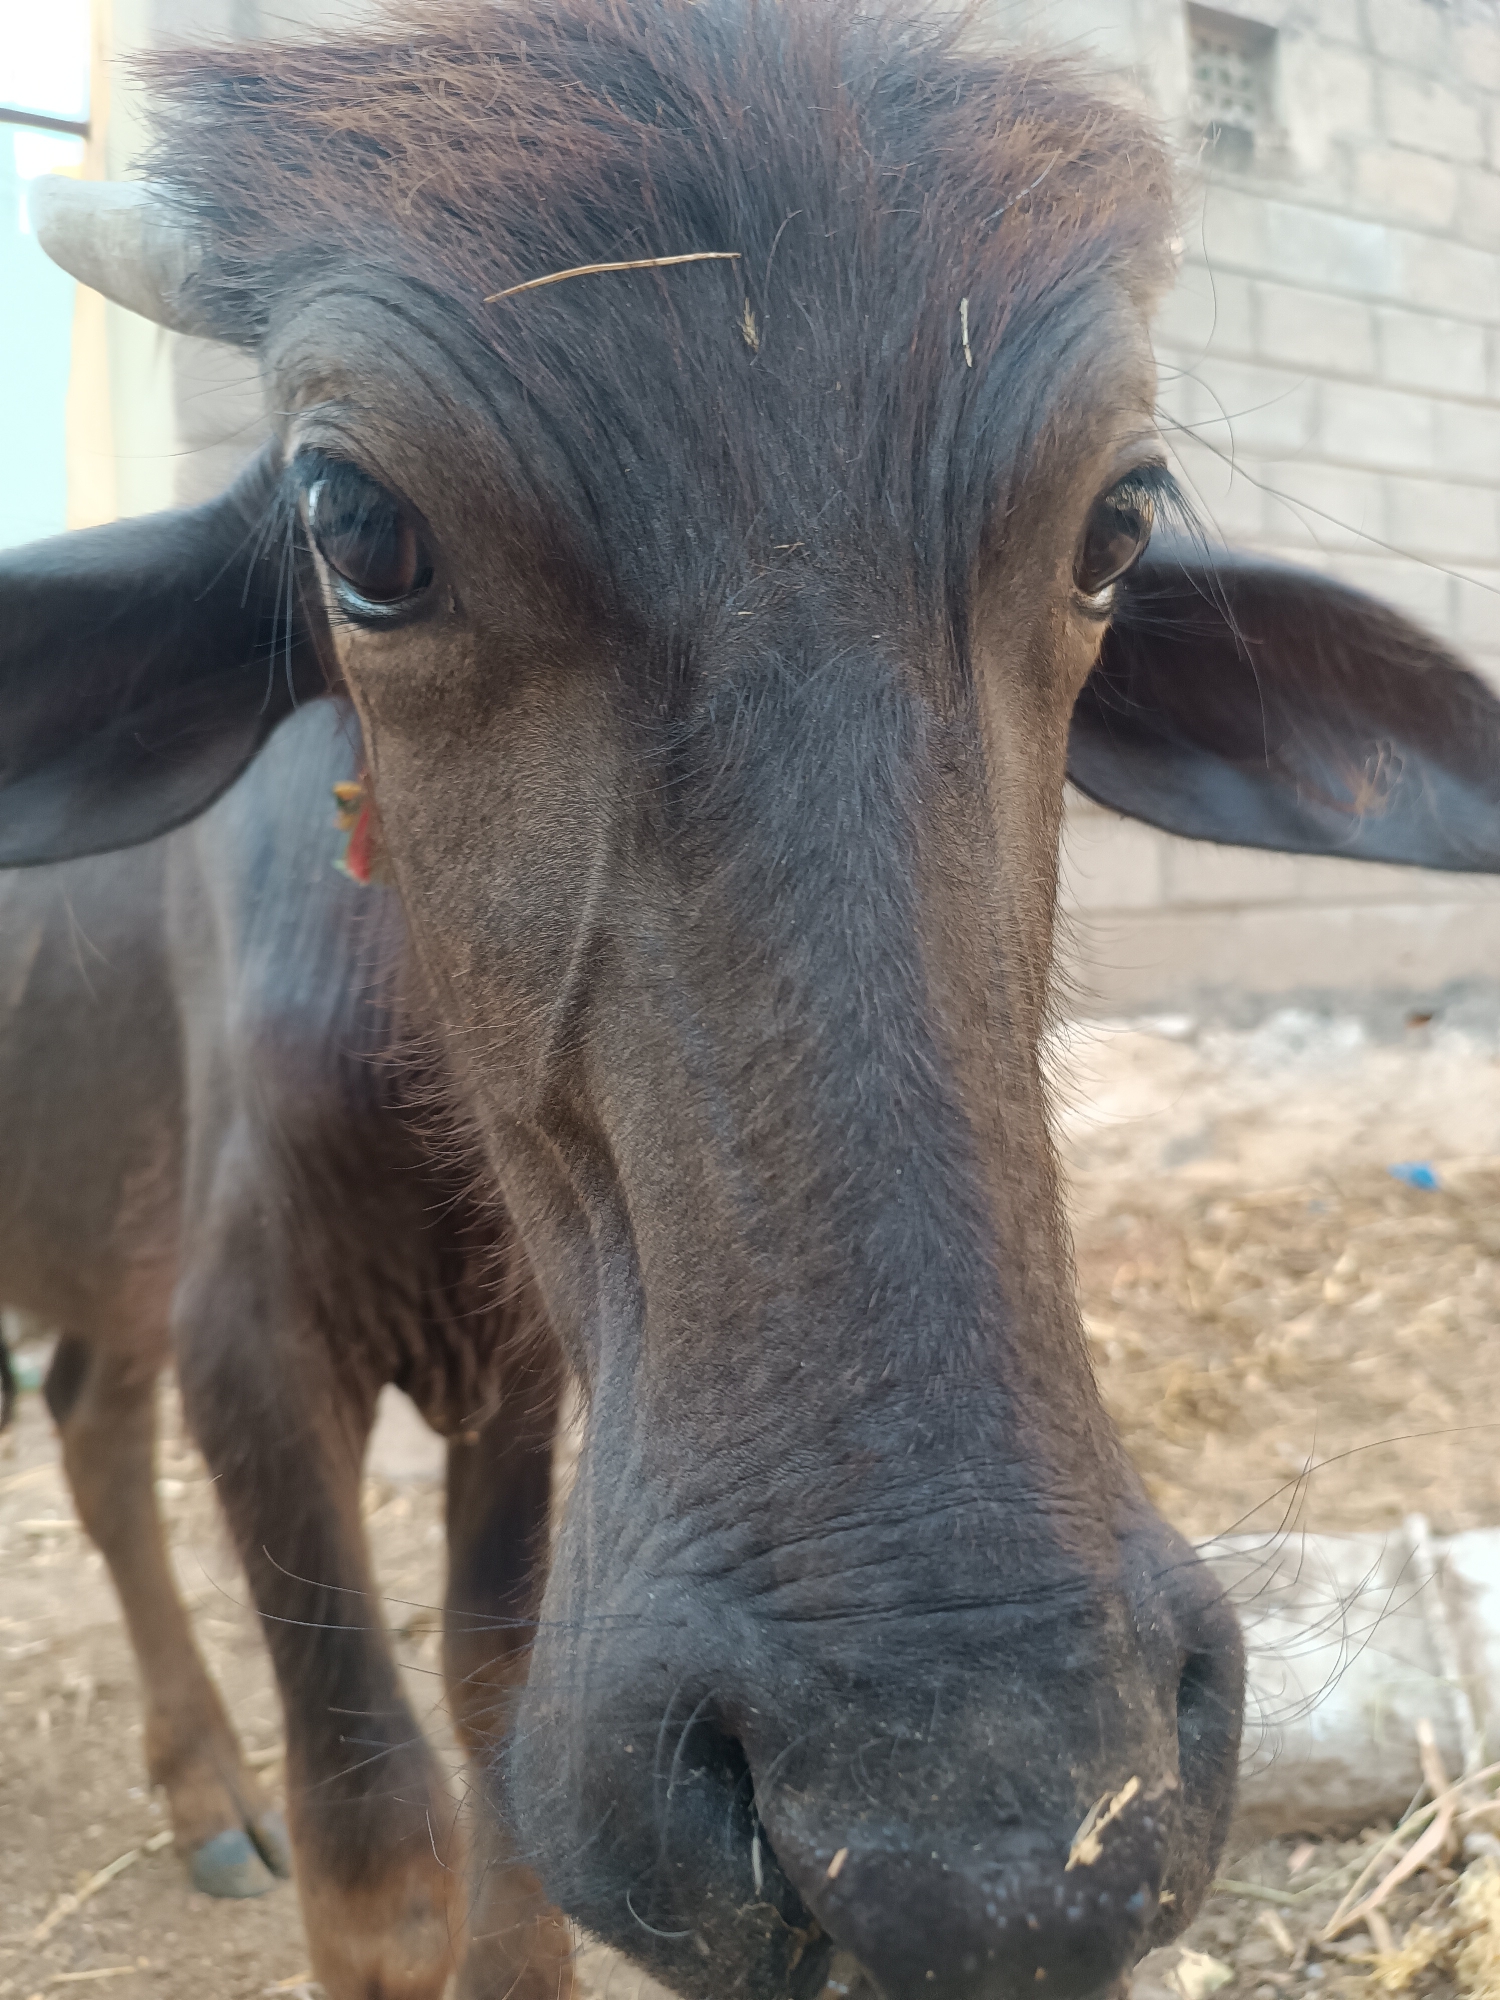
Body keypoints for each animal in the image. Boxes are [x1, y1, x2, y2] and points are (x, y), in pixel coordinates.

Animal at [5, 2, 1500, 1998]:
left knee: (89, 1411)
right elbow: (380, 1831)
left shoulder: (524, 1380)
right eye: (357, 523)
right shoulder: (249, 1337)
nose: (978, 1834)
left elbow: (493, 1712)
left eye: (1114, 527)